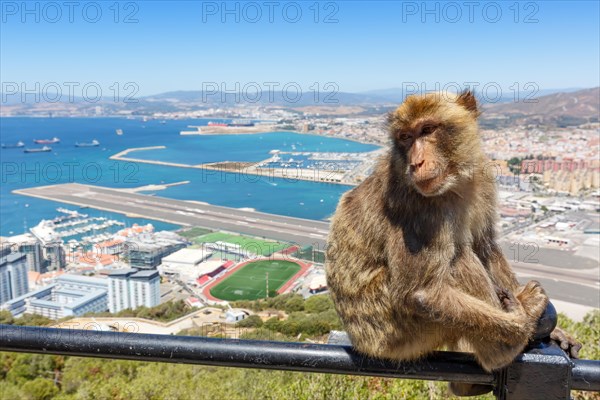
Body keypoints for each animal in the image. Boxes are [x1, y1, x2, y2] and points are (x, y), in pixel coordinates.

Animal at [326, 91, 580, 396]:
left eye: (427, 130)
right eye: (405, 137)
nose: (416, 163)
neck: (455, 183)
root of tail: (359, 340)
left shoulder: (482, 179)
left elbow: (485, 246)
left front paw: (554, 331)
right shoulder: (418, 207)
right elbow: (423, 292)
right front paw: (522, 322)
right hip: (393, 332)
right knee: (458, 260)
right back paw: (501, 349)